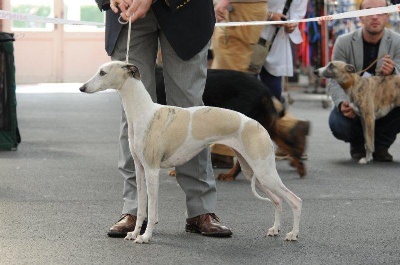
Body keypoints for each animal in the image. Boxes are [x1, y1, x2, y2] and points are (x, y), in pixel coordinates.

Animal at [79, 60, 302, 242]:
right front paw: (134, 233)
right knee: (278, 200)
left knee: (295, 200)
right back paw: (275, 230)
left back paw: (293, 234)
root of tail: (259, 126)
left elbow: (152, 209)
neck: (144, 112)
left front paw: (146, 236)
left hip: (264, 172)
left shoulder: (152, 170)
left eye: (102, 72)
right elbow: (142, 207)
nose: (81, 88)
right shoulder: (140, 169)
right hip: (253, 171)